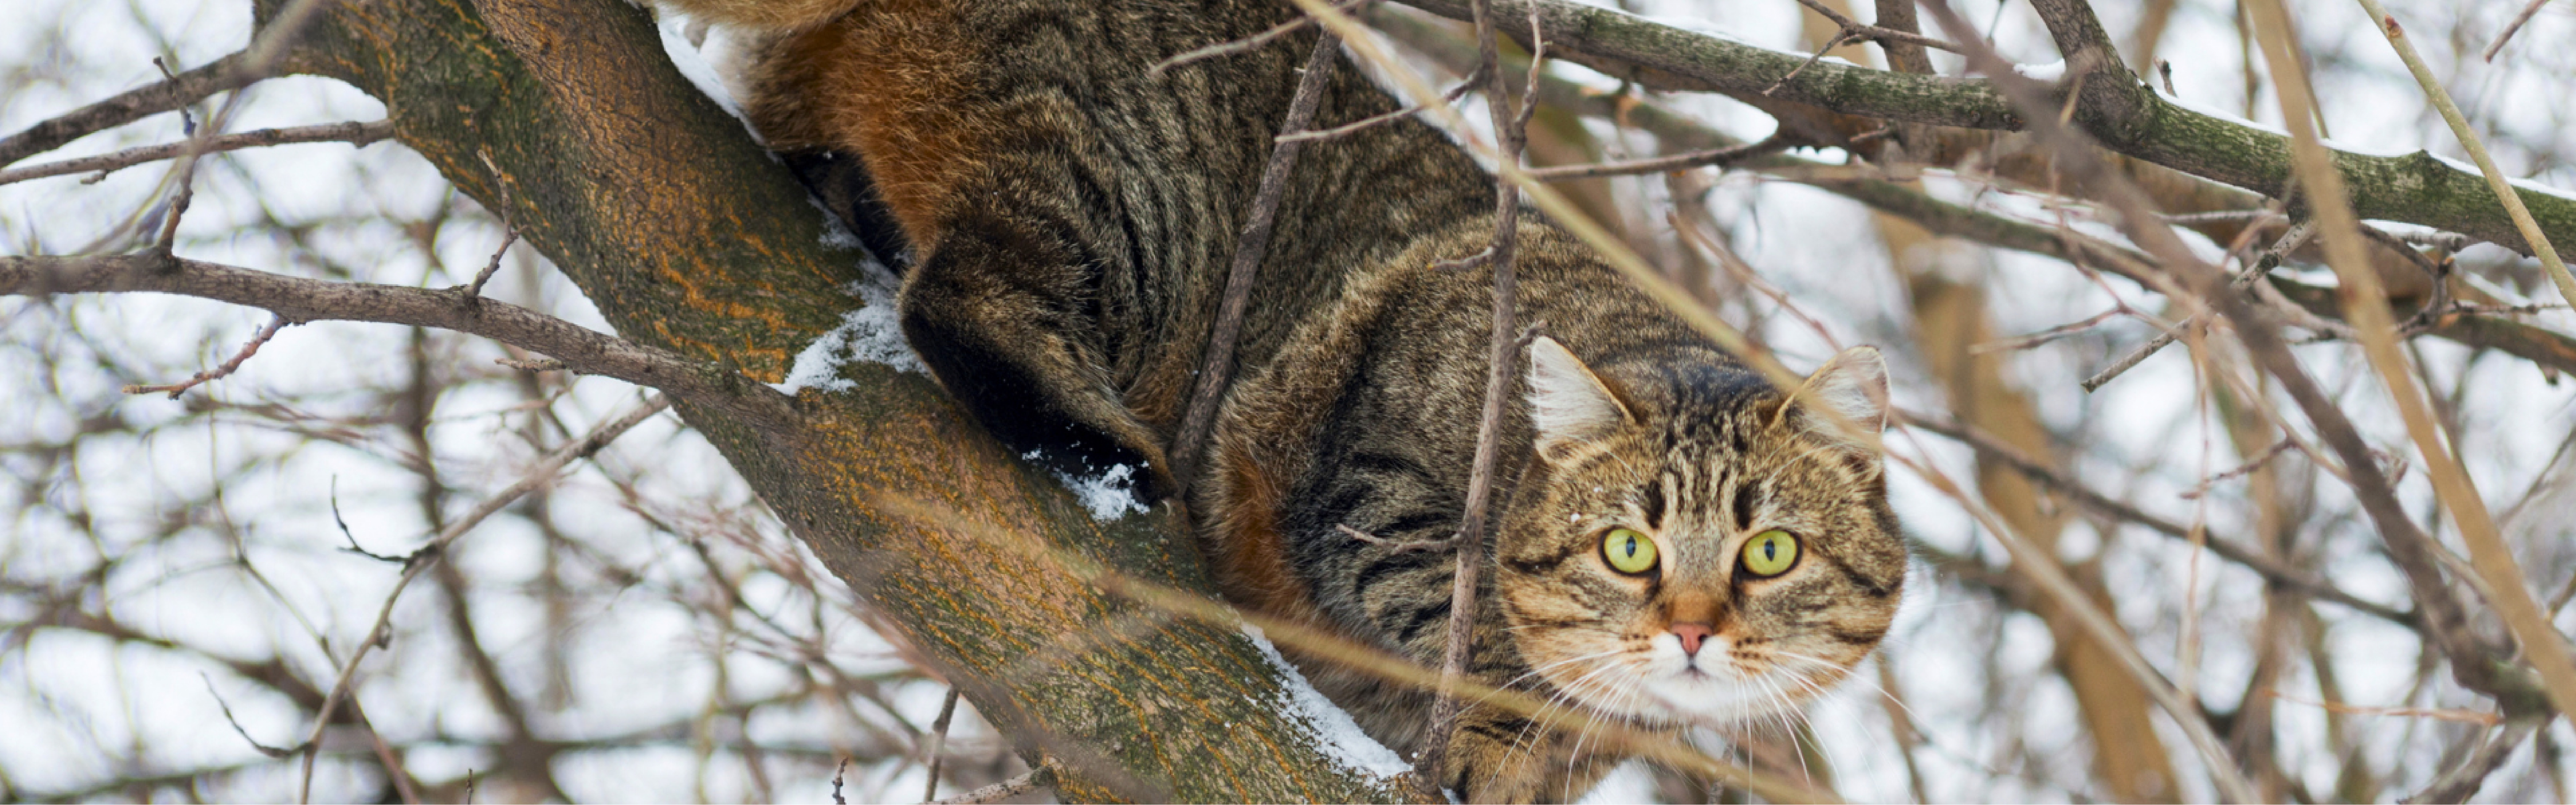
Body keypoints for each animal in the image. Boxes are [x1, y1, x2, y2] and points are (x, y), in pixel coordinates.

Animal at [659, 0, 1917, 797]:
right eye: (1625, 546)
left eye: (1769, 553)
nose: (1694, 627)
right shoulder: (1375, 461)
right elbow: (1449, 612)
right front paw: (1500, 720)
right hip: (1137, 210)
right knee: (961, 299)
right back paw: (1095, 442)